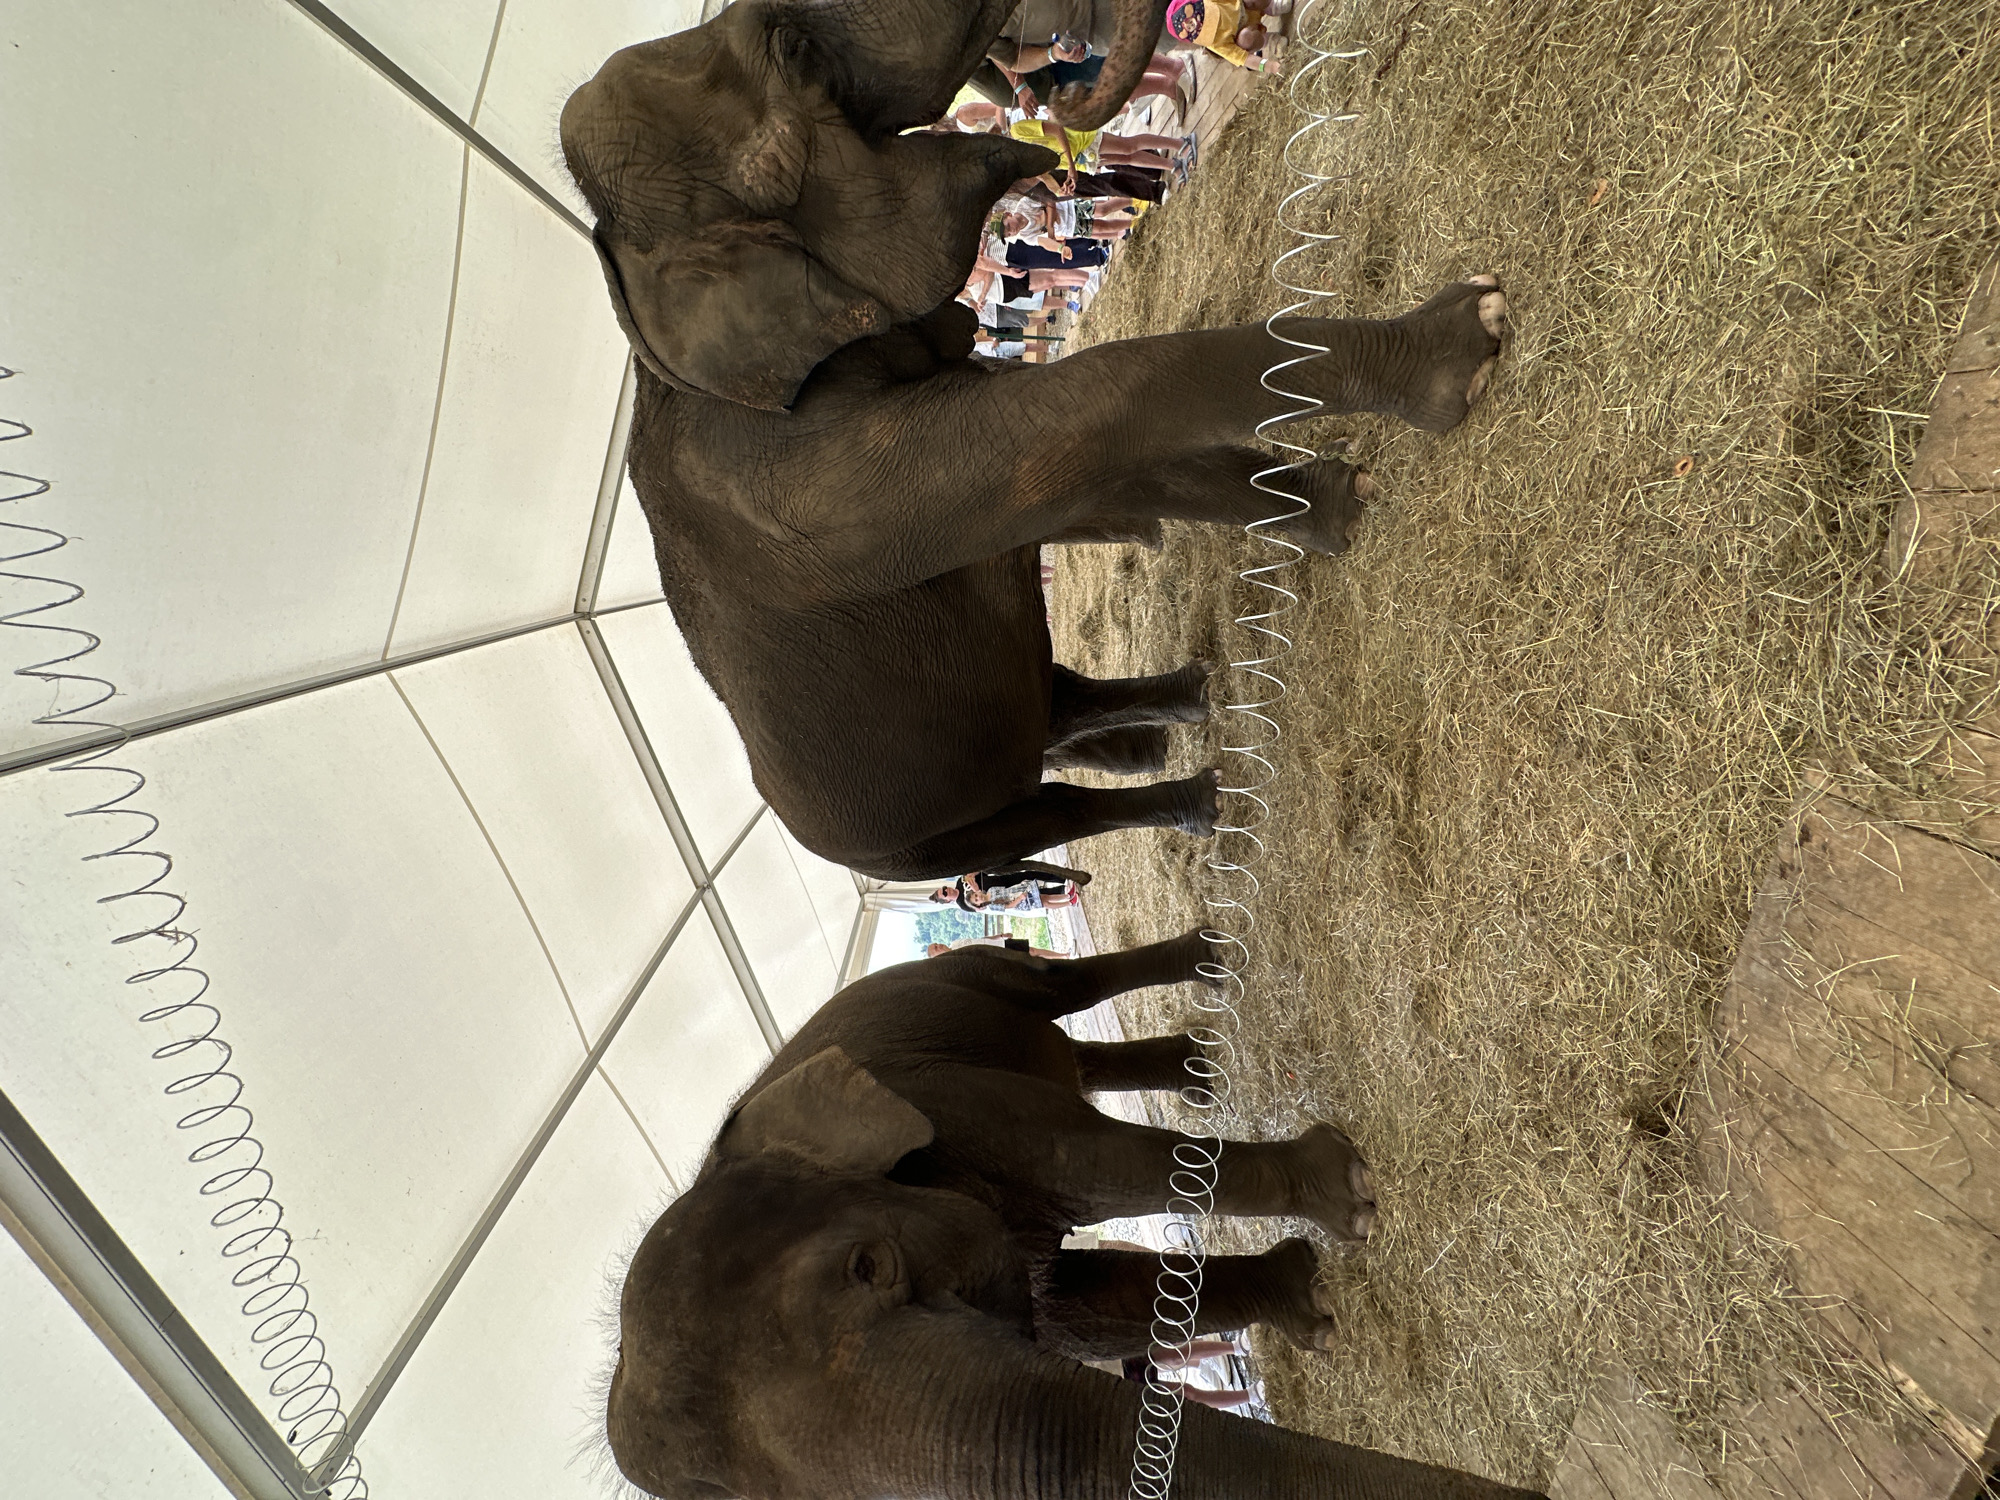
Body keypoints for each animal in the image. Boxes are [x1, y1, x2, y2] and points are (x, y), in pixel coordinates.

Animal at [560, 14, 1510, 882]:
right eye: (795, 52)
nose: (1042, 98)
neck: (646, 324)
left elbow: (1113, 463)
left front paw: (1343, 504)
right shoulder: (808, 496)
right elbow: (1087, 414)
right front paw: (1466, 344)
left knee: (1050, 703)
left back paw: (1193, 705)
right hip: (915, 848)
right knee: (1048, 811)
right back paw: (1203, 797)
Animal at [606, 931, 1548, 1500]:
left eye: (869, 1268)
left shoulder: (946, 1103)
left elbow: (1088, 1163)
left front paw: (1346, 1201)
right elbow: (1095, 1304)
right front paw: (1307, 1300)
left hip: (955, 974)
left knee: (1059, 985)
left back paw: (1209, 967)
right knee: (1077, 1057)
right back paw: (1201, 1068)